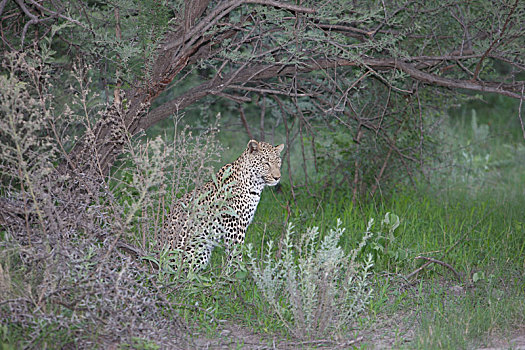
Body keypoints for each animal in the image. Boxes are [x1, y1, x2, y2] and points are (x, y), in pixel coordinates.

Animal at [164, 139, 284, 270]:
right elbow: (236, 254)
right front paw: (237, 273)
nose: (277, 177)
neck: (255, 185)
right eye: (266, 163)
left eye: (278, 163)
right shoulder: (235, 226)